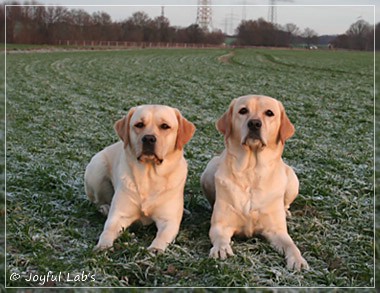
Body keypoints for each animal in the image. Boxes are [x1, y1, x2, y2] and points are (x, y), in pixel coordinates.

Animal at [84, 104, 194, 251]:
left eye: (165, 126)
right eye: (139, 125)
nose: (148, 138)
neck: (149, 177)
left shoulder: (168, 221)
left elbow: (162, 237)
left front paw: (155, 249)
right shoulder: (119, 216)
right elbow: (108, 230)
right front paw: (103, 245)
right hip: (97, 170)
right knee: (98, 200)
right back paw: (105, 208)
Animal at [200, 95, 308, 270]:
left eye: (269, 113)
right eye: (243, 110)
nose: (255, 124)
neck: (251, 171)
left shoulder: (277, 231)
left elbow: (291, 244)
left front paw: (297, 259)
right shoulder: (221, 225)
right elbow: (220, 237)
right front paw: (221, 249)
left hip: (292, 179)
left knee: (286, 203)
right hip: (209, 170)